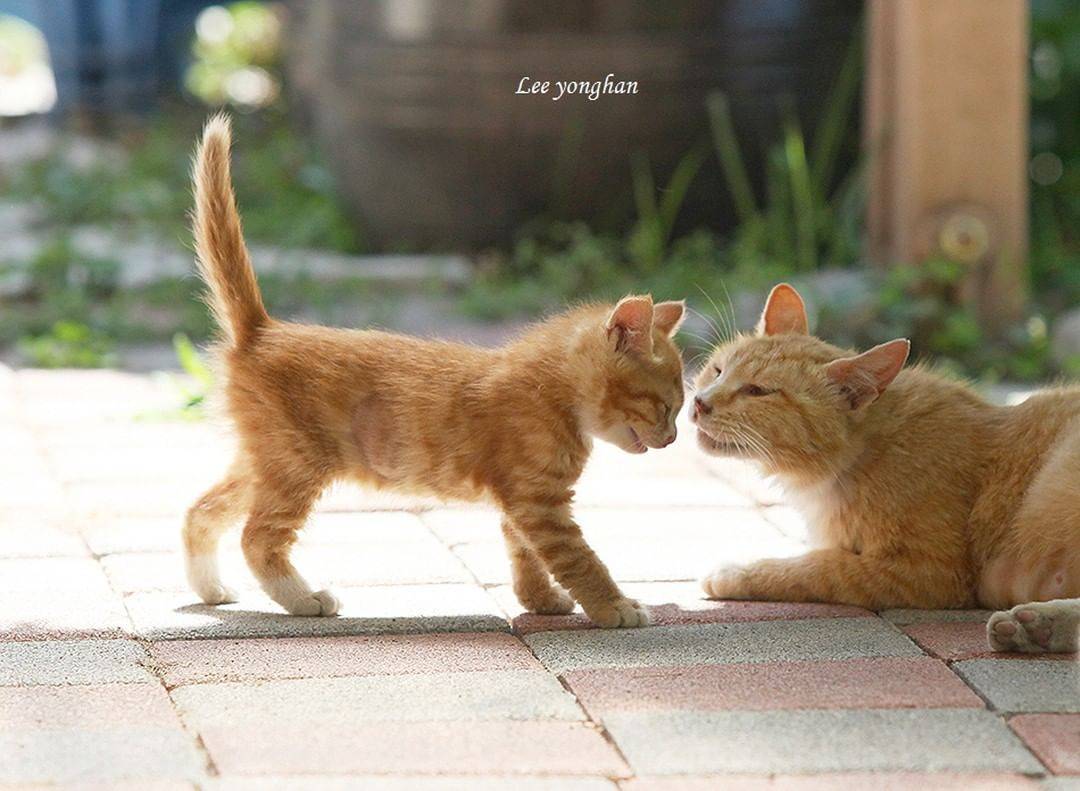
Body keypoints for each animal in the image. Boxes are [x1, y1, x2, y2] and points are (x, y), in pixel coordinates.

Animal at [177, 114, 682, 626]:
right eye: (665, 407)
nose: (674, 439)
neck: (554, 391)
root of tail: (264, 330)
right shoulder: (539, 501)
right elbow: (579, 558)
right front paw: (615, 606)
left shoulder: (522, 500)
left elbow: (523, 549)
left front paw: (540, 600)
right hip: (296, 463)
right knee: (257, 536)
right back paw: (303, 599)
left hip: (263, 461)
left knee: (202, 511)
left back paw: (211, 588)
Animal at [691, 280, 1080, 652]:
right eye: (717, 370)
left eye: (758, 391)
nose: (699, 402)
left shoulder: (929, 572)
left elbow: (820, 566)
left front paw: (738, 572)